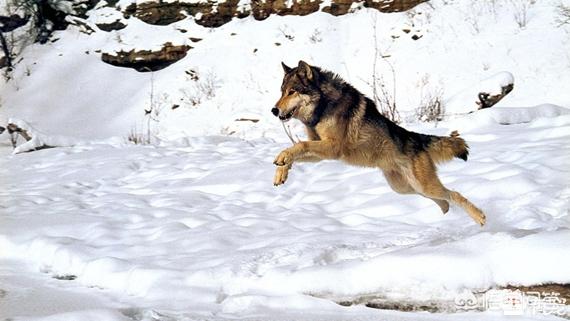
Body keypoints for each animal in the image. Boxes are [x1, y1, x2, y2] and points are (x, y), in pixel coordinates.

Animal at [270, 60, 484, 225]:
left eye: (292, 92)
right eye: (281, 92)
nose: (273, 110)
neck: (323, 106)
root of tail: (415, 137)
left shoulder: (333, 148)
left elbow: (299, 145)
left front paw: (282, 159)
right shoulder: (320, 148)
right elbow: (295, 151)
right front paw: (281, 171)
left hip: (422, 186)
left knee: (454, 194)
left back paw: (480, 217)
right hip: (406, 188)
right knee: (445, 201)